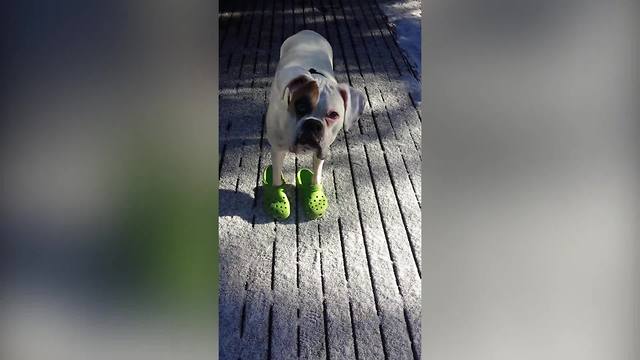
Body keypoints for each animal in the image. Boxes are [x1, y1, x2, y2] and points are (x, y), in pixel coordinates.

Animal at [264, 29, 364, 219]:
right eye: (301, 106)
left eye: (333, 115)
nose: (312, 124)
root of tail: (307, 31)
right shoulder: (278, 150)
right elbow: (276, 176)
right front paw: (277, 196)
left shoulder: (321, 151)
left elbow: (316, 172)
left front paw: (314, 192)